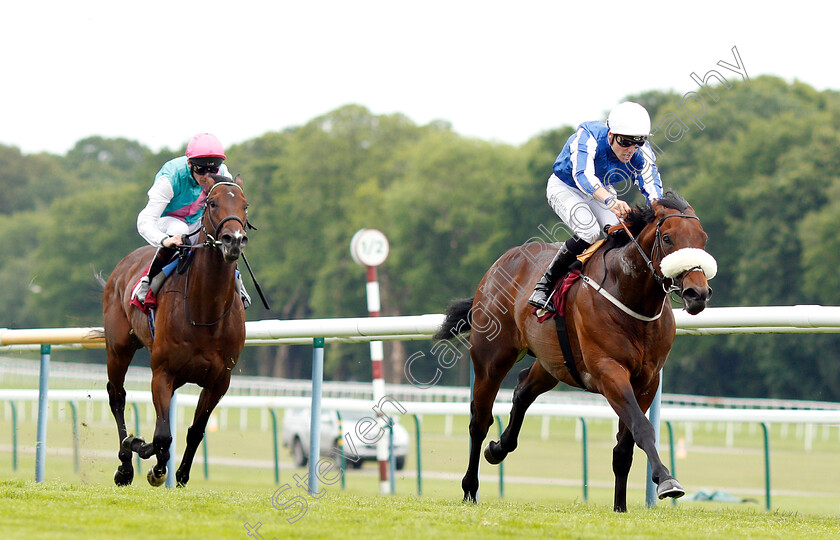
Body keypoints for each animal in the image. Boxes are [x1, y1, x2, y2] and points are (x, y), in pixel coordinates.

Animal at [103, 175, 248, 488]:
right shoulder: (163, 371)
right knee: (117, 396)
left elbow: (195, 430)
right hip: (119, 348)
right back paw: (125, 466)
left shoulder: (220, 380)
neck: (205, 314)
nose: (234, 240)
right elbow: (161, 436)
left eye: (245, 205)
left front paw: (180, 475)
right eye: (212, 203)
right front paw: (152, 465)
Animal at [436, 192, 720, 512]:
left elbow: (625, 447)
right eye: (668, 238)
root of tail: (499, 264)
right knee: (479, 421)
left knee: (522, 390)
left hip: (552, 363)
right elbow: (643, 427)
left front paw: (620, 506)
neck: (629, 294)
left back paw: (499, 448)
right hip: (491, 359)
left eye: (703, 239)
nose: (698, 293)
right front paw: (667, 480)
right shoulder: (609, 372)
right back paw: (470, 488)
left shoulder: (647, 380)